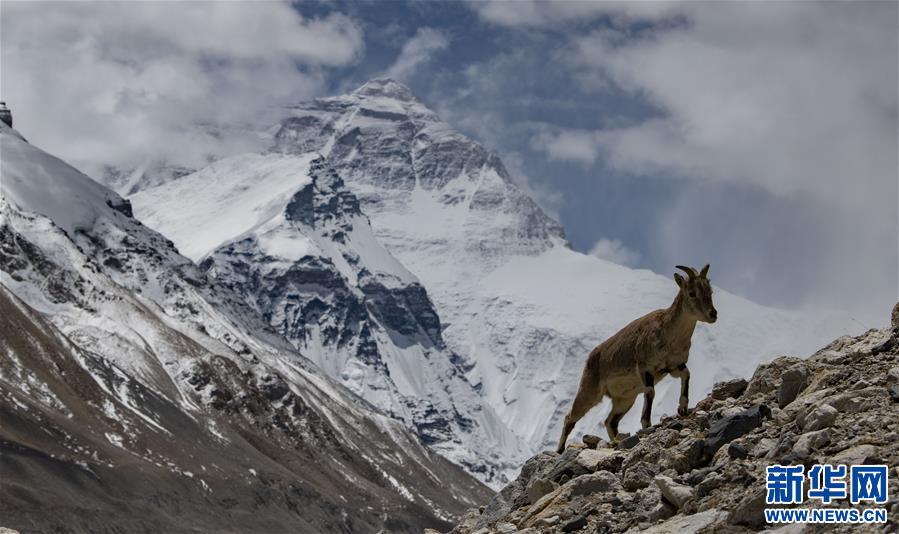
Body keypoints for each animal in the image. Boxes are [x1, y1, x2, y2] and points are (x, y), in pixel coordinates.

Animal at [556, 264, 716, 452]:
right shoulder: (645, 367)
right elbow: (650, 392)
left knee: (610, 421)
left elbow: (687, 375)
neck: (669, 334)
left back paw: (616, 441)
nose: (713, 314)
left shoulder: (674, 365)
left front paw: (683, 408)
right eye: (691, 293)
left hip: (625, 398)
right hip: (591, 391)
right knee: (570, 417)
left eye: (710, 291)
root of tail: (591, 356)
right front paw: (647, 424)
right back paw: (559, 450)